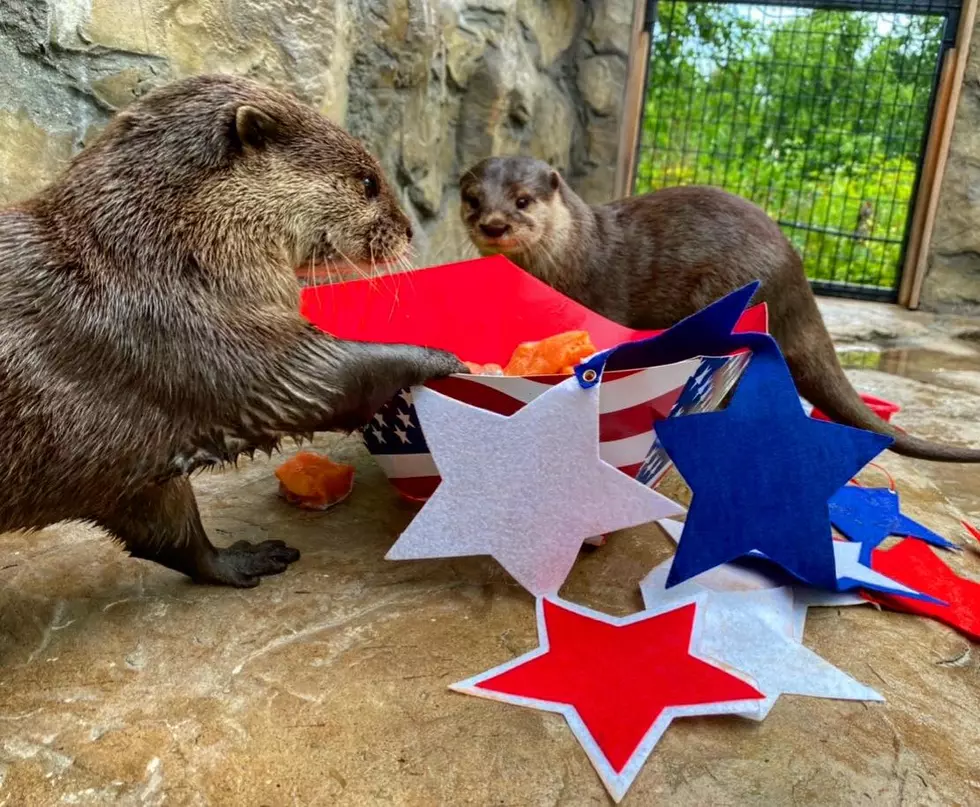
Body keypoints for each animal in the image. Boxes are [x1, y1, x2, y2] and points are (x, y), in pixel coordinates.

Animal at [0, 76, 468, 592]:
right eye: (368, 182)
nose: (408, 230)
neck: (164, 252)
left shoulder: (133, 453)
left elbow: (165, 526)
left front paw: (236, 560)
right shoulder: (186, 333)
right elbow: (312, 376)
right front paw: (436, 358)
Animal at [460, 158, 980, 464]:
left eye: (523, 200)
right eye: (472, 200)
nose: (494, 224)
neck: (575, 253)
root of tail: (797, 284)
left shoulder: (602, 297)